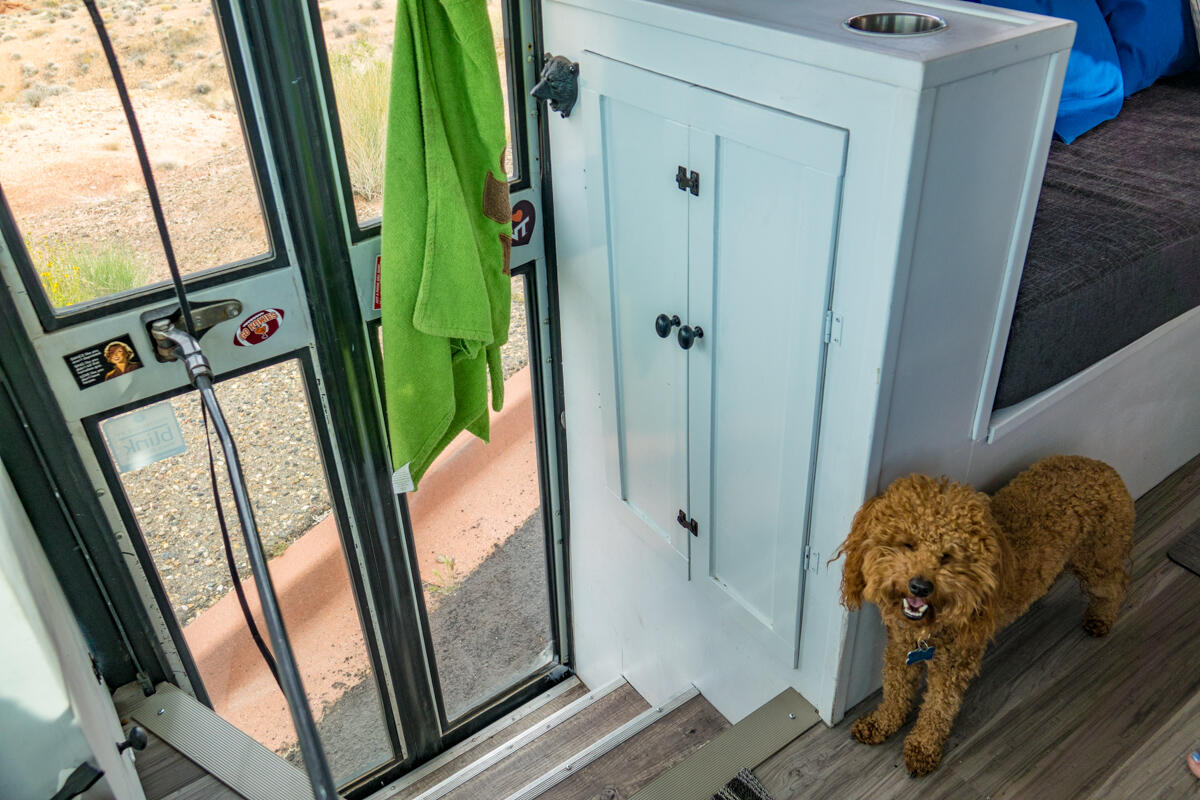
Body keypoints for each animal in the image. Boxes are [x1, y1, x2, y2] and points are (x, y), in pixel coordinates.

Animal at [840, 455, 1128, 777]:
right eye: (907, 544)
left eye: (948, 556)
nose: (920, 586)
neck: (928, 629)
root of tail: (1103, 466)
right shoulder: (900, 649)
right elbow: (895, 691)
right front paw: (881, 723)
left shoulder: (954, 665)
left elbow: (938, 708)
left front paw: (923, 747)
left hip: (1098, 557)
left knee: (1115, 586)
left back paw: (1101, 618)